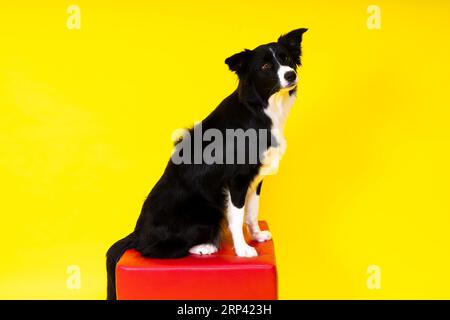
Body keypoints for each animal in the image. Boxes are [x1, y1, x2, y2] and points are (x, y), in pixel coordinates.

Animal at [107, 28, 308, 300]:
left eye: (286, 59)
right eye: (266, 66)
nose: (290, 75)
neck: (260, 108)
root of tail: (137, 233)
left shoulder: (256, 180)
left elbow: (252, 212)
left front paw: (256, 235)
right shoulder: (236, 181)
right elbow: (237, 216)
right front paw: (243, 249)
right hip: (207, 211)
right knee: (151, 250)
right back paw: (203, 247)